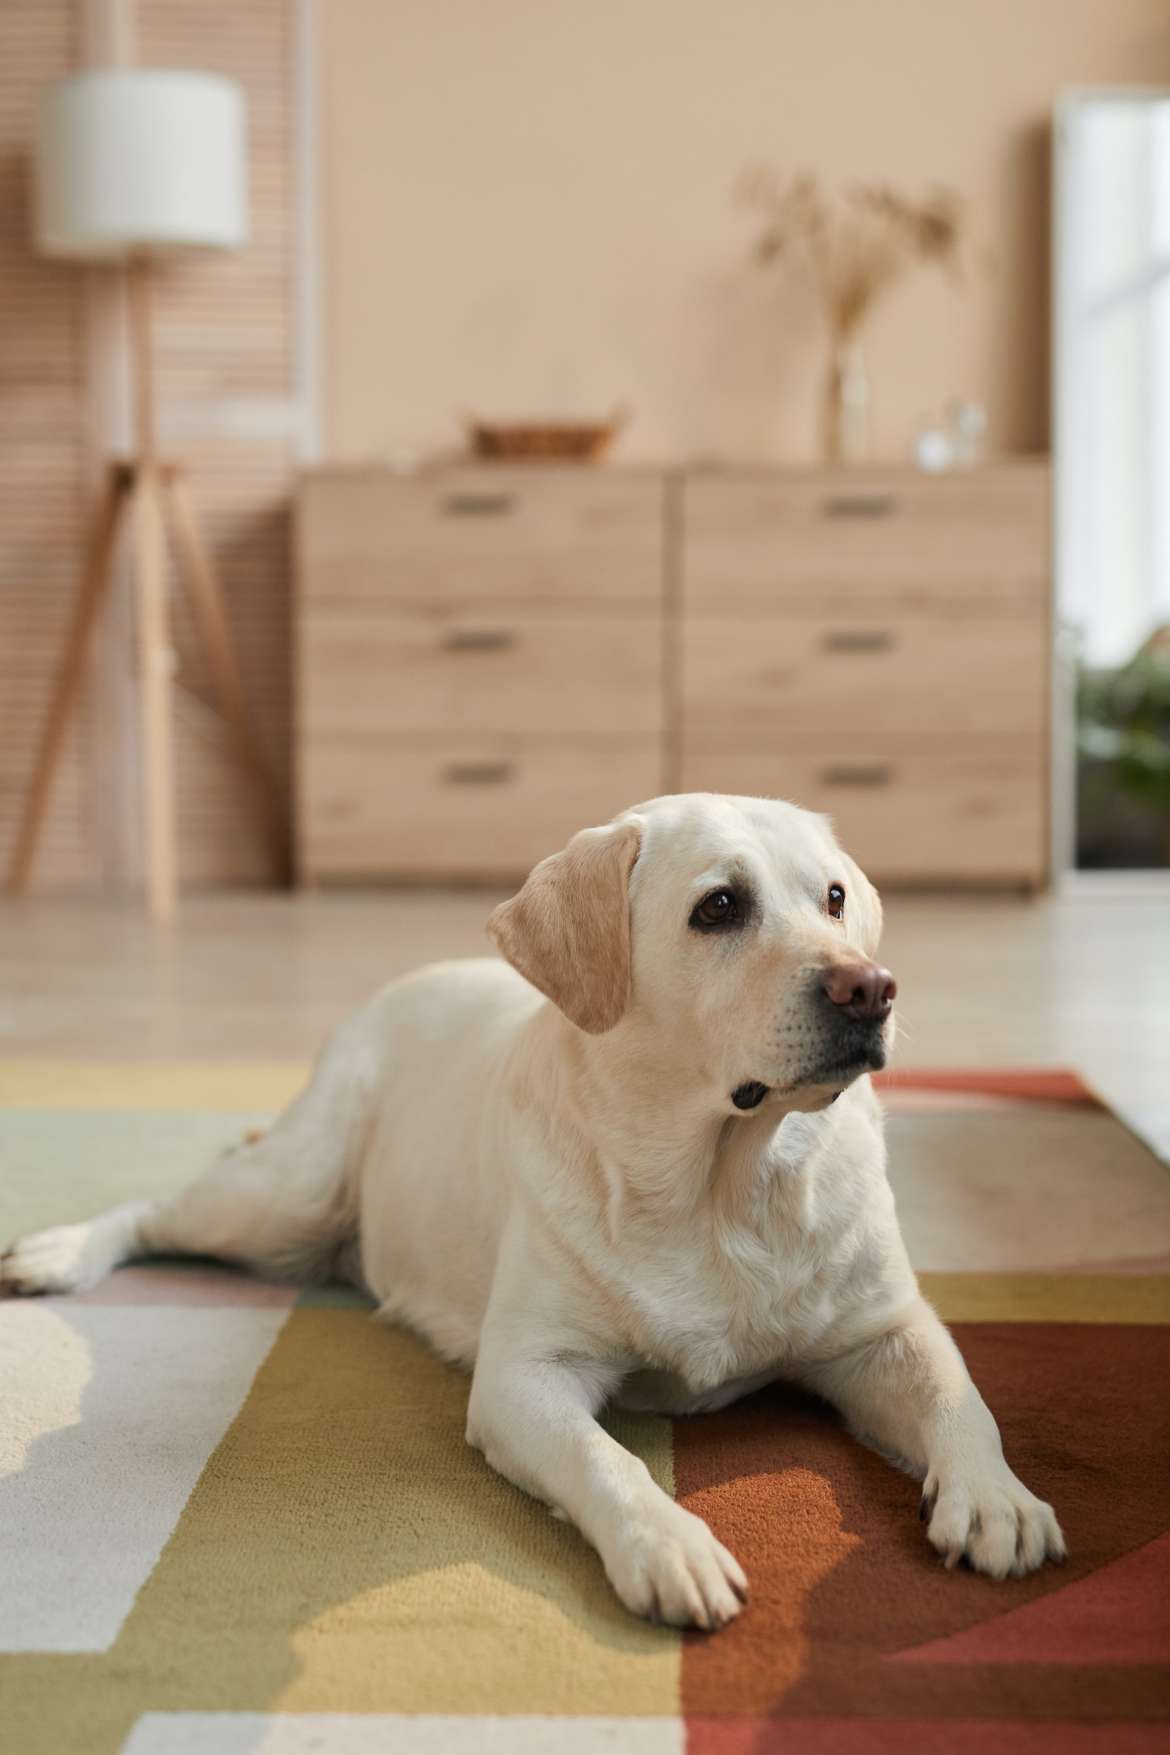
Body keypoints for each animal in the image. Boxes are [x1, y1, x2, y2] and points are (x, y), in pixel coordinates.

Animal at [0, 796, 1066, 1628]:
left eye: (836, 897)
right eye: (719, 906)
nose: (869, 987)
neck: (721, 1184)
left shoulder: (882, 1327)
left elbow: (958, 1393)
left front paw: (998, 1498)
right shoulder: (525, 1376)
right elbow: (609, 1462)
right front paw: (670, 1544)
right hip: (287, 1196)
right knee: (153, 1209)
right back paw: (57, 1251)